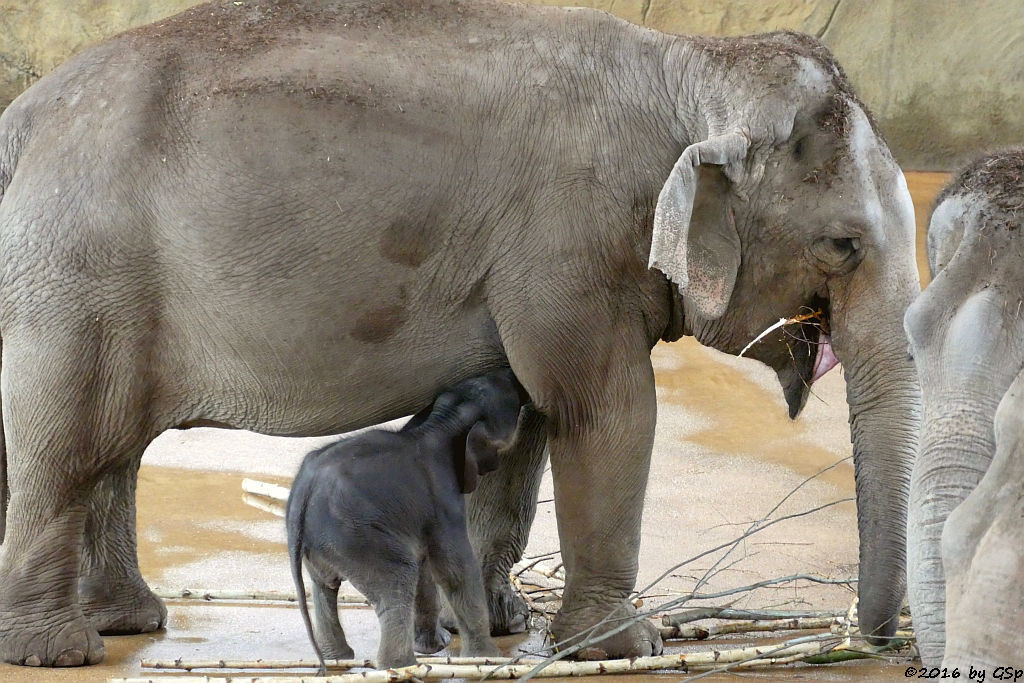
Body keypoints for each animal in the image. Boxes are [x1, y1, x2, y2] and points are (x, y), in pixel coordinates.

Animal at [288, 370, 528, 671]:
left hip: (319, 544)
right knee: (397, 580)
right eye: (513, 399)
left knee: (324, 587)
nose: (513, 376)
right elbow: (455, 568)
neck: (442, 421)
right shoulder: (443, 500)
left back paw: (337, 658)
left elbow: (427, 567)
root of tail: (303, 496)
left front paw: (437, 646)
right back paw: (401, 666)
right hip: (355, 540)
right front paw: (486, 658)